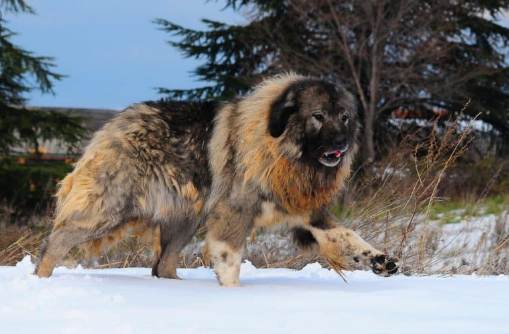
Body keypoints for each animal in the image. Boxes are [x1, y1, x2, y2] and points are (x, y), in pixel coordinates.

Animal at [37, 73, 398, 284]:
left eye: (345, 117)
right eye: (318, 117)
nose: (341, 145)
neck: (279, 148)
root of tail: (113, 125)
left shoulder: (307, 212)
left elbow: (349, 237)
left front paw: (379, 260)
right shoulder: (233, 213)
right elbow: (230, 260)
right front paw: (232, 295)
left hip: (185, 220)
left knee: (162, 265)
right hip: (107, 210)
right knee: (55, 242)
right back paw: (42, 279)